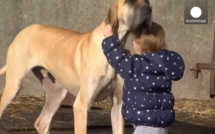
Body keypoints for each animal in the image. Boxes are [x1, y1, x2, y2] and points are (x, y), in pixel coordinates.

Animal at [0, 0, 151, 133]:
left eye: (147, 1)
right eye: (130, 2)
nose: (149, 9)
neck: (113, 47)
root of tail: (22, 31)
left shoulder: (117, 105)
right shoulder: (81, 106)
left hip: (56, 92)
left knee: (42, 122)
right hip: (14, 86)